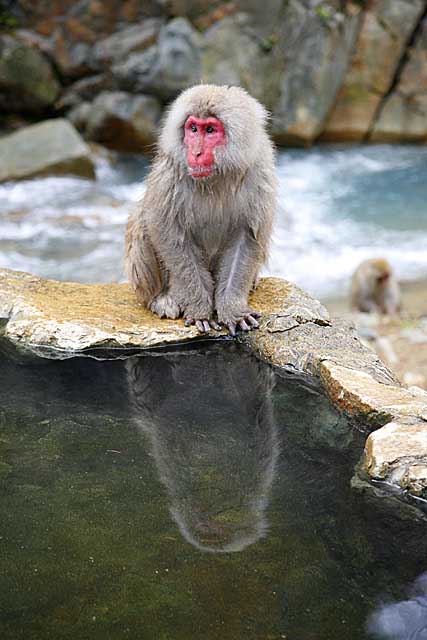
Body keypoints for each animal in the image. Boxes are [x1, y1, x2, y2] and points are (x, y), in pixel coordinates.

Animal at [124, 83, 278, 338]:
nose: (195, 152)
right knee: (142, 220)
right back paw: (162, 298)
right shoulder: (170, 173)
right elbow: (169, 234)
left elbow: (247, 237)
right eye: (193, 129)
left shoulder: (259, 173)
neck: (216, 177)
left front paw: (232, 310)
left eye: (211, 130)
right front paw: (199, 310)